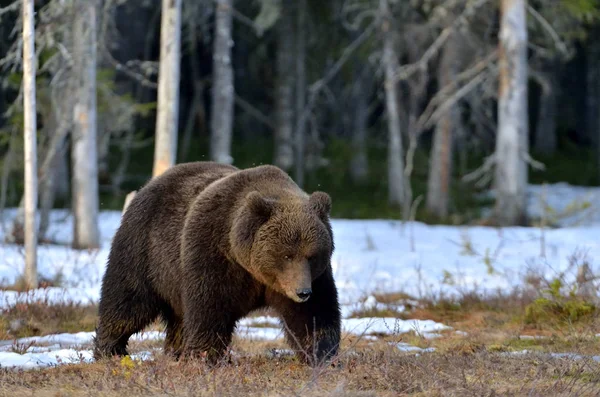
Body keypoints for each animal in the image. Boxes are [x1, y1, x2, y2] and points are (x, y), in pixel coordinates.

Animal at [91, 161, 340, 366]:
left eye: (312, 255)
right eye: (287, 255)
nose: (302, 292)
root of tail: (150, 184)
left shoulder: (313, 277)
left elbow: (314, 314)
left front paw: (324, 355)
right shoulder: (214, 251)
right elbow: (210, 306)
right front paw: (207, 357)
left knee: (178, 317)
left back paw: (176, 352)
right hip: (146, 250)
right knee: (127, 301)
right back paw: (111, 351)